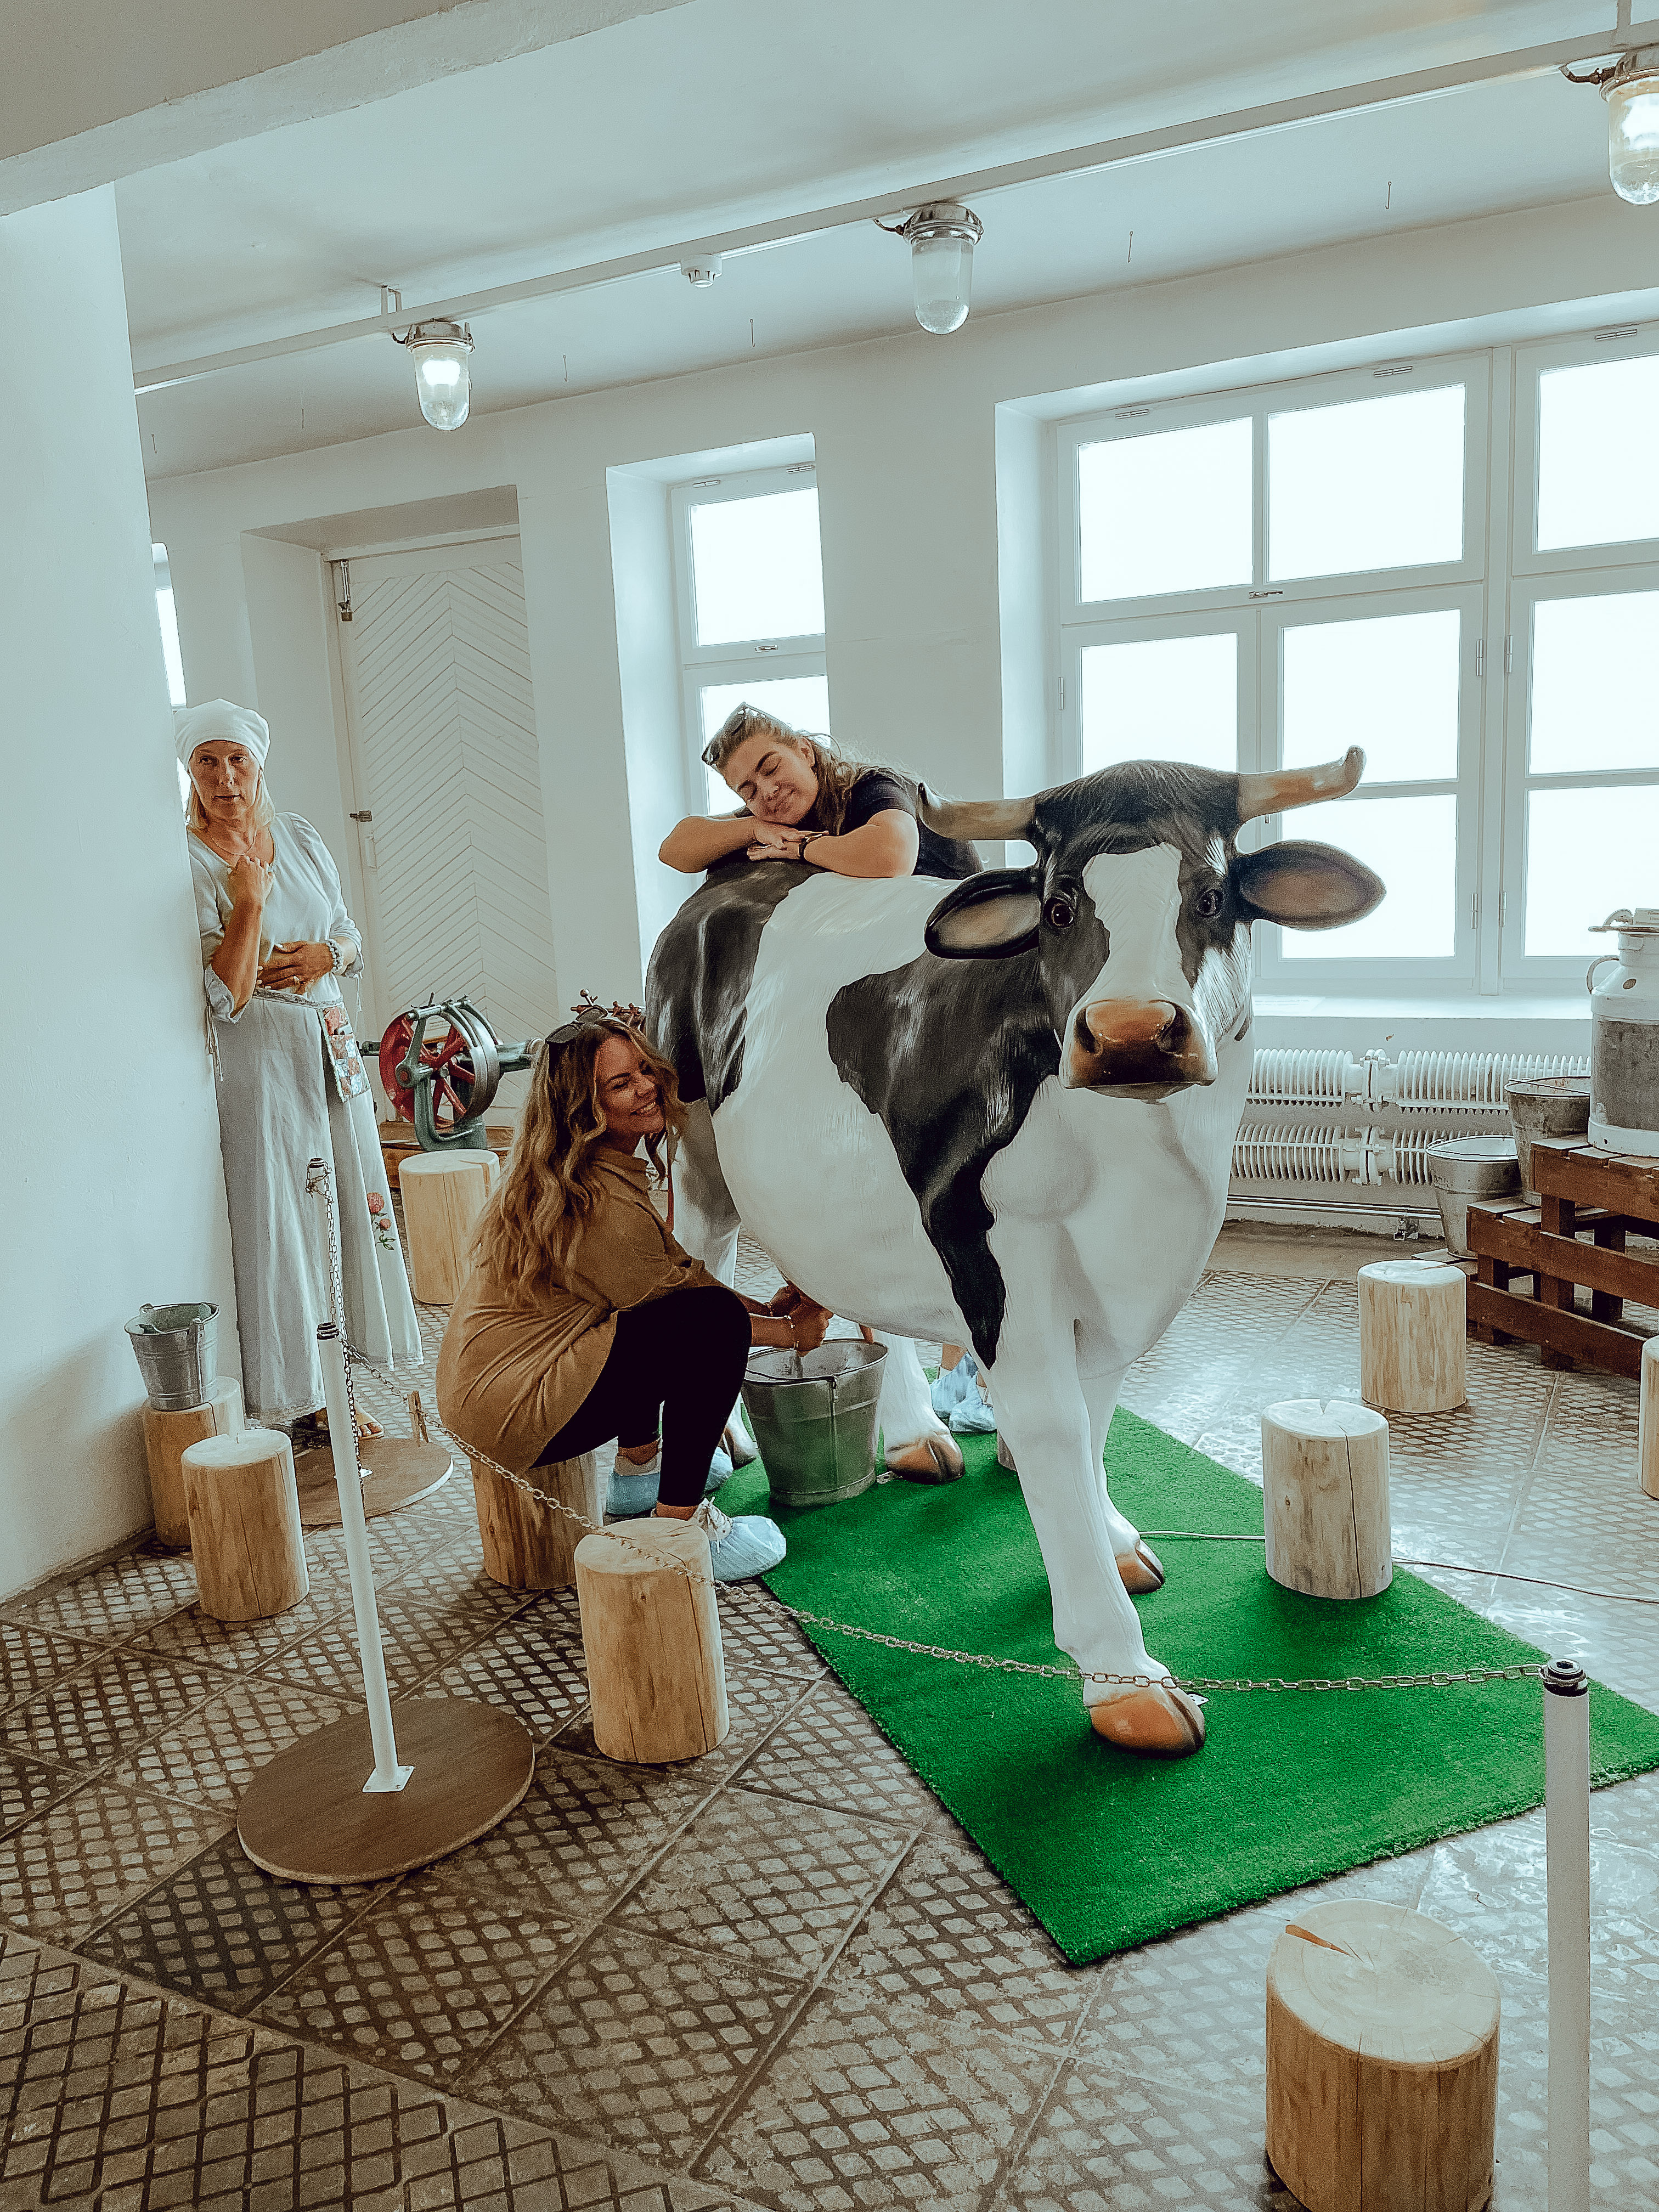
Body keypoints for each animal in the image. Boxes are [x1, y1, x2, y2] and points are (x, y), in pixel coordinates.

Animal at [641, 752, 1380, 1752]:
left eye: (1213, 895)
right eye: (1059, 904)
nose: (1130, 1031)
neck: (1144, 1169)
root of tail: (731, 879)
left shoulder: (1125, 1275)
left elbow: (1098, 1410)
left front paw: (1112, 1537)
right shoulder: (989, 1242)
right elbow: (1055, 1424)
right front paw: (1120, 1672)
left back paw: (913, 1435)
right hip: (692, 1141)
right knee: (705, 1254)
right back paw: (718, 1448)